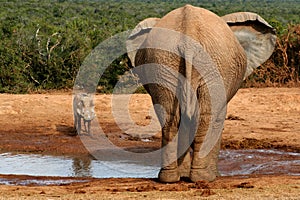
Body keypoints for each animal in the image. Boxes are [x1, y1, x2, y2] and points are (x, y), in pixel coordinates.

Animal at [125, 4, 276, 183]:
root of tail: (188, 33)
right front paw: (214, 175)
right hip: (211, 65)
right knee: (206, 118)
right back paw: (203, 177)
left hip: (162, 62)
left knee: (170, 117)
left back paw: (170, 178)